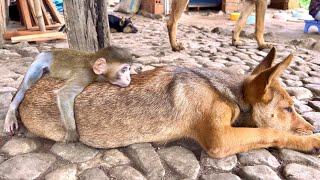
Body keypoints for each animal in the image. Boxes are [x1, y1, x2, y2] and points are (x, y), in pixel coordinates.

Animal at [18, 47, 318, 158]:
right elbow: (270, 132)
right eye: (288, 109)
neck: (226, 91)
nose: (310, 126)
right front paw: (311, 141)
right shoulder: (220, 139)